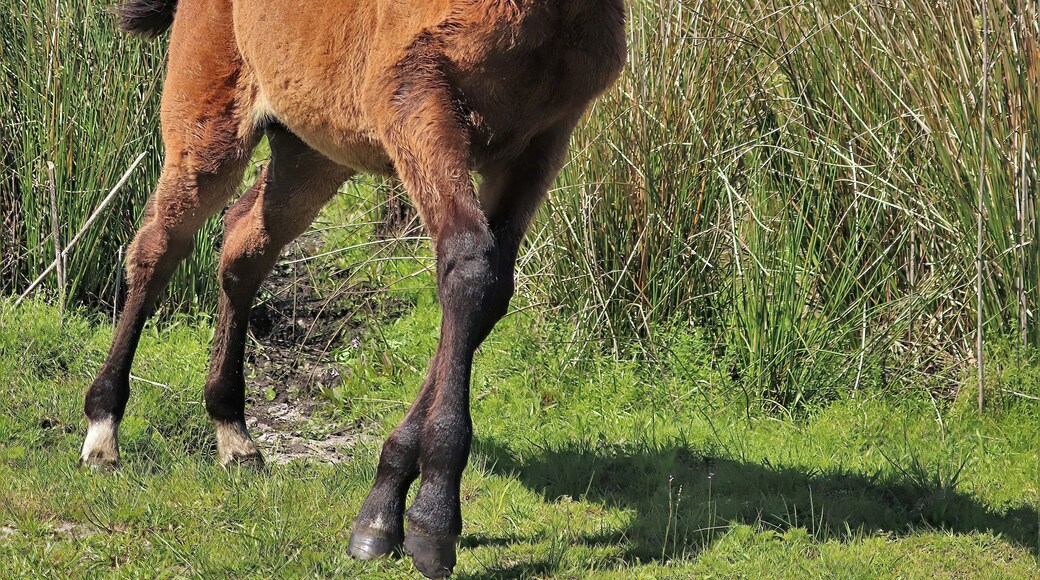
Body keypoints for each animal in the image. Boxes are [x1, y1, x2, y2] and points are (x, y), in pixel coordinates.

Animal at [79, 0, 626, 576]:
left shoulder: (542, 137)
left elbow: (489, 290)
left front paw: (384, 510)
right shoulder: (415, 96)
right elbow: (470, 264)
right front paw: (433, 519)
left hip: (313, 147)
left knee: (244, 245)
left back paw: (233, 433)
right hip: (209, 124)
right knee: (158, 248)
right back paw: (103, 432)